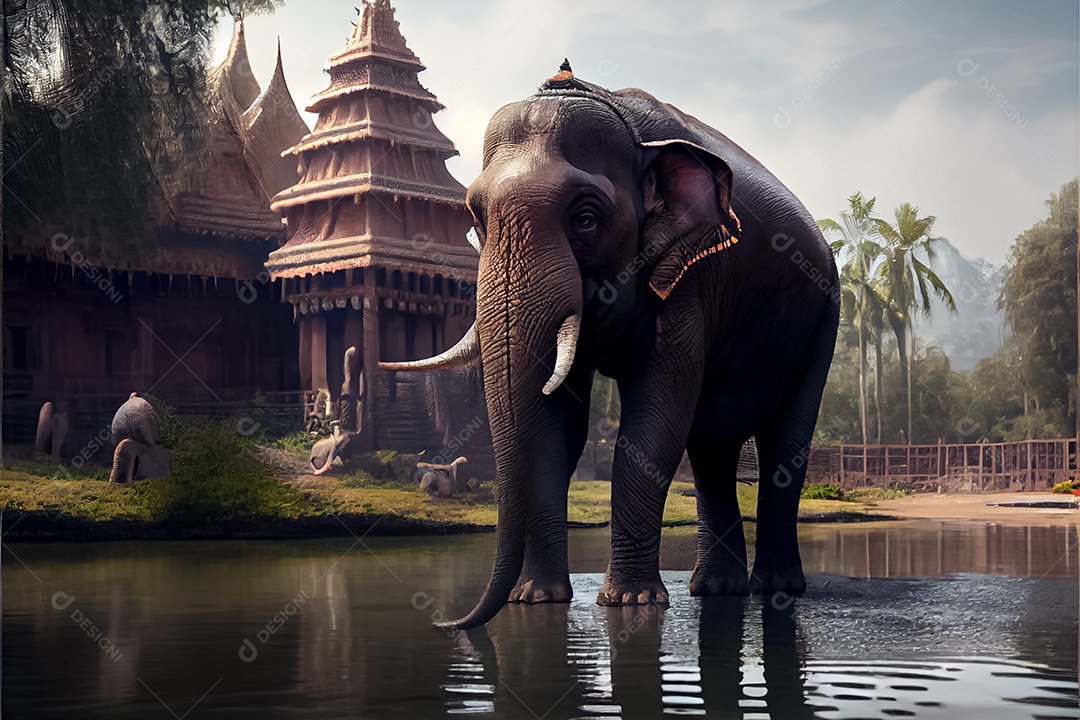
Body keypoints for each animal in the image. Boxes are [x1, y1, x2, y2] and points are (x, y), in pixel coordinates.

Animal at [383, 63, 839, 629]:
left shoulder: (690, 278)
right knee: (711, 450)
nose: (446, 623)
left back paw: (777, 590)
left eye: (585, 219)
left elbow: (655, 419)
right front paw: (536, 598)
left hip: (824, 319)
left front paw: (630, 602)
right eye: (476, 220)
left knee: (782, 449)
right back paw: (716, 589)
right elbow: (559, 429)